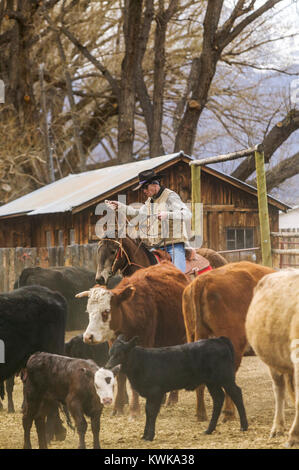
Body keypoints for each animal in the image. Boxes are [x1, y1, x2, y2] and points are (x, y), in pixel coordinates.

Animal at [77, 262, 190, 416]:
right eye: (88, 311)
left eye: (106, 312)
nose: (88, 337)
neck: (131, 315)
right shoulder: (115, 349)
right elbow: (121, 376)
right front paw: (118, 408)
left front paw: (134, 410)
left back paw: (172, 398)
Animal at [106, 334, 250, 440]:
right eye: (110, 352)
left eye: (120, 354)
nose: (108, 366)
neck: (141, 363)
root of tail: (217, 340)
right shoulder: (149, 394)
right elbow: (148, 411)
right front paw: (144, 435)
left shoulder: (156, 392)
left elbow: (152, 412)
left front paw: (150, 436)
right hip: (212, 382)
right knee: (218, 398)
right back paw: (209, 429)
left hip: (226, 377)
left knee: (236, 393)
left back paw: (244, 426)